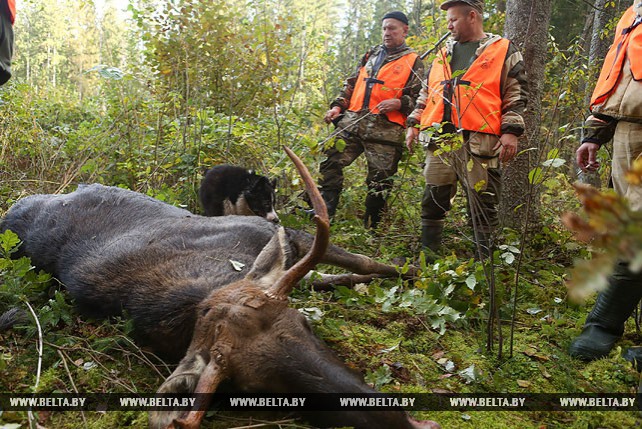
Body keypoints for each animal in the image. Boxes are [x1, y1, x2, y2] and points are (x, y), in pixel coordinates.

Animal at [0, 148, 438, 428]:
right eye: (253, 387)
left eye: (304, 324)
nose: (401, 422)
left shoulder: (279, 233)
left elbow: (365, 262)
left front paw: (417, 270)